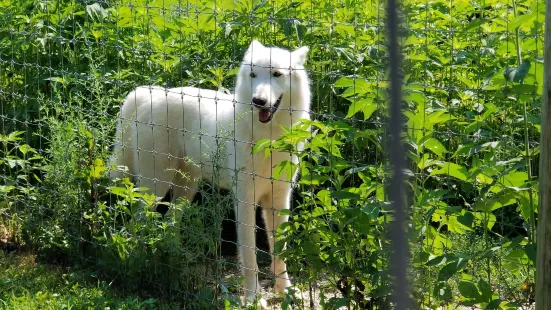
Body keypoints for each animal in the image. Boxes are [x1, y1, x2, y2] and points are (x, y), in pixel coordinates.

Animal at [110, 40, 312, 306]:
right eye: (253, 75)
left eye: (277, 74)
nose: (258, 101)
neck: (267, 140)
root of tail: (147, 93)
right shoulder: (244, 202)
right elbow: (250, 258)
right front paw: (253, 298)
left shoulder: (279, 200)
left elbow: (280, 253)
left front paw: (286, 292)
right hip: (155, 187)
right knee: (138, 222)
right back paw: (138, 262)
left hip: (186, 189)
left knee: (170, 222)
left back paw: (174, 258)